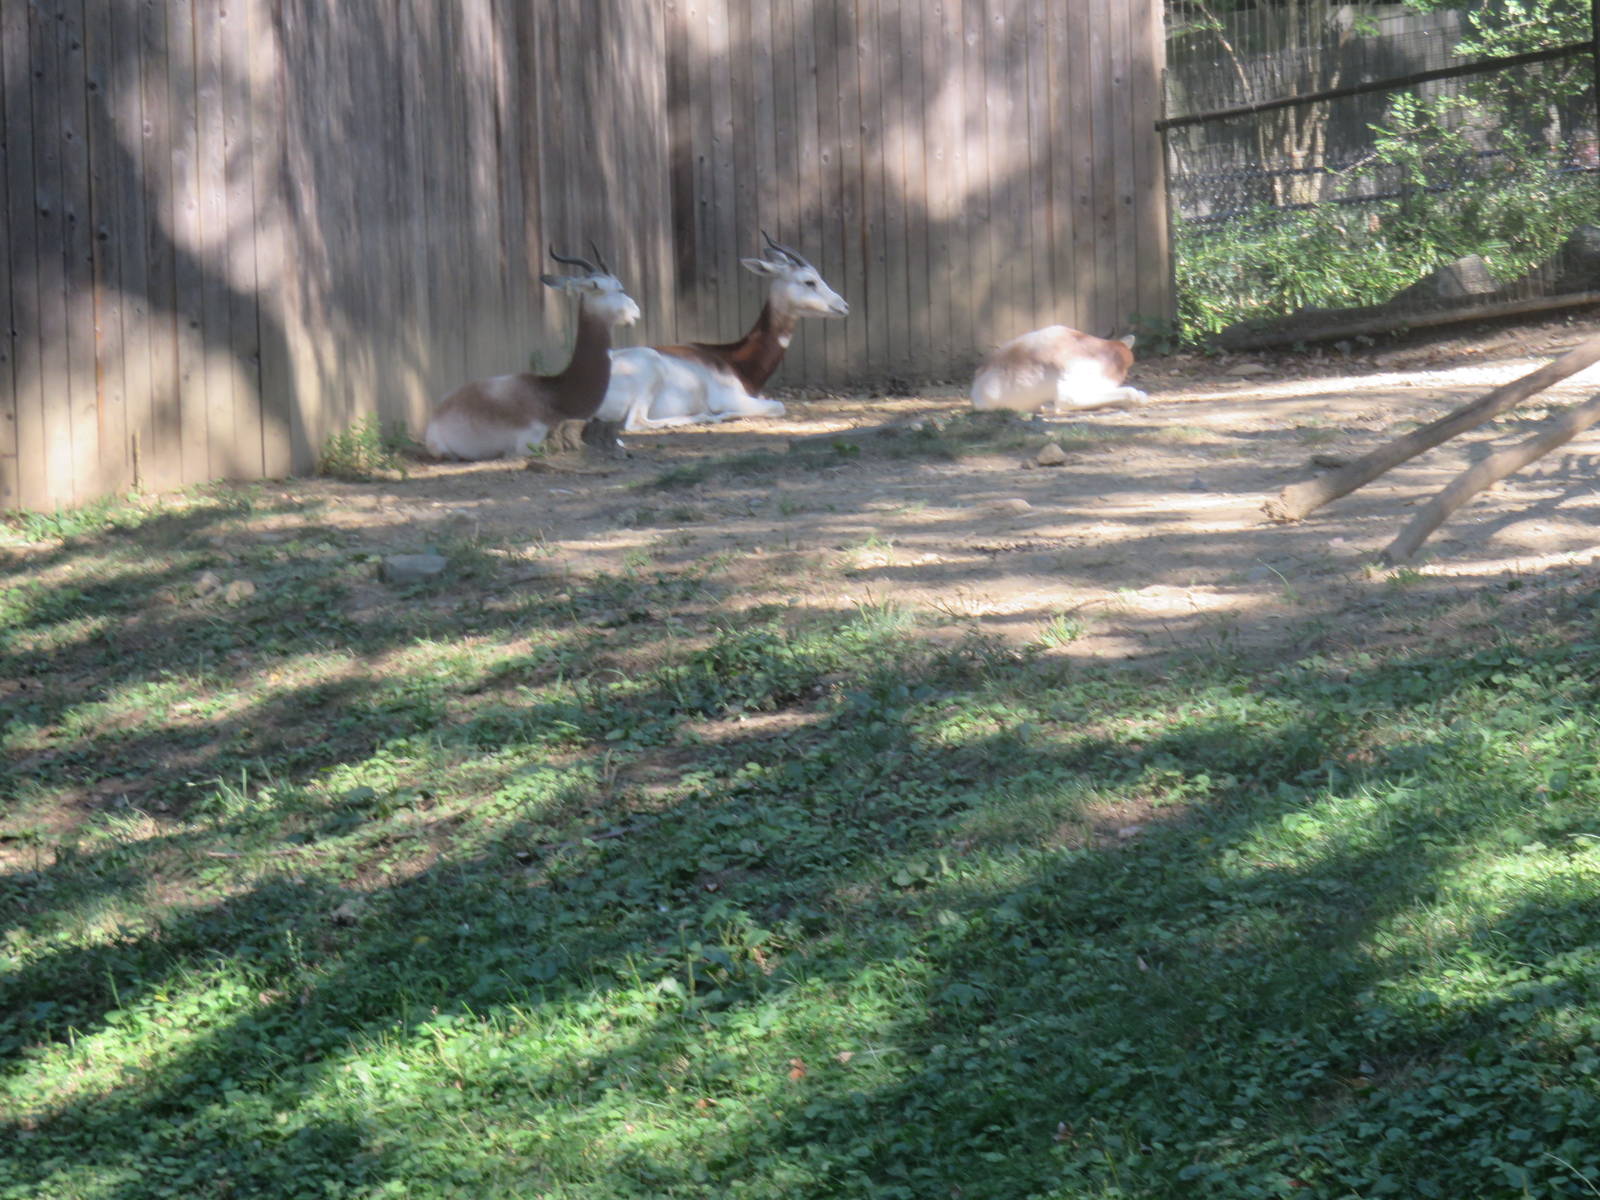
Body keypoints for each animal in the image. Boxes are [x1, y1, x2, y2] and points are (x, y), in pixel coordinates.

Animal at [591, 232, 848, 432]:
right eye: (809, 281)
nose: (844, 305)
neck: (734, 359)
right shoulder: (732, 398)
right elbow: (778, 405)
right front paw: (720, 414)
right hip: (648, 370)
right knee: (636, 423)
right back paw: (706, 417)